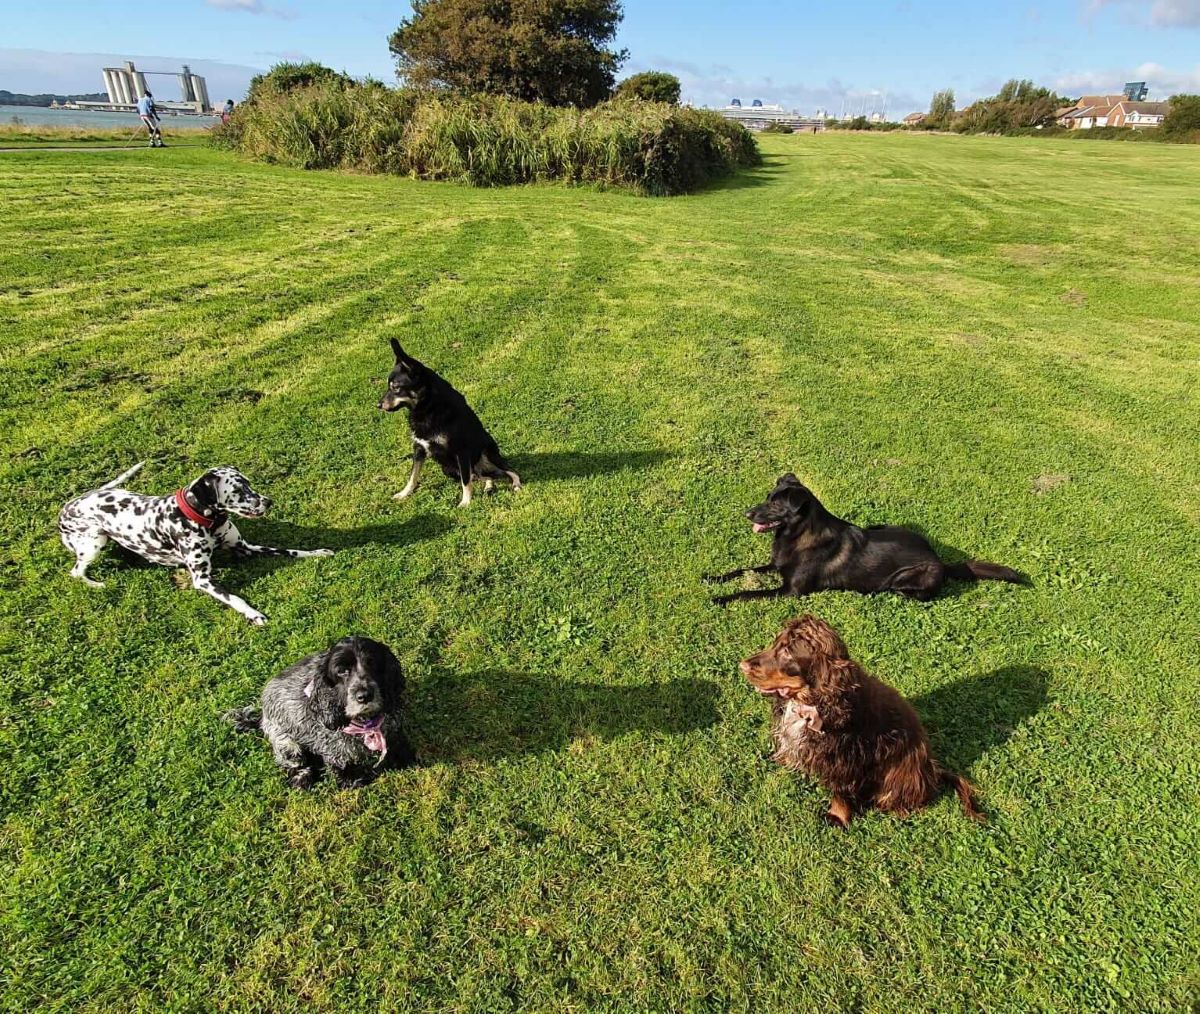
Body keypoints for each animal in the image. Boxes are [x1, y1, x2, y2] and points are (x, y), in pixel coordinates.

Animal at [57, 460, 333, 624]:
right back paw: (97, 584)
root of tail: (70, 503)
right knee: (76, 571)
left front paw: (317, 552)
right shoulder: (203, 579)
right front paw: (253, 613)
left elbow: (290, 551)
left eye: (249, 484)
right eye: (237, 491)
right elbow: (235, 598)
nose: (268, 502)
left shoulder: (246, 549)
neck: (207, 522)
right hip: (95, 542)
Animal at [226, 633, 415, 792]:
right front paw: (351, 780)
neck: (366, 724)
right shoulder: (332, 747)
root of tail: (262, 717)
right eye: (341, 671)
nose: (364, 696)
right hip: (285, 742)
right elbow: (341, 765)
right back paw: (302, 778)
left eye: (372, 663)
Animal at [379, 338, 520, 506]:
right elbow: (413, 476)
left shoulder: (461, 452)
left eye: (396, 387)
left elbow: (465, 482)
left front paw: (465, 502)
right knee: (484, 476)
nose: (378, 405)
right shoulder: (419, 448)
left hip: (488, 455)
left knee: (508, 470)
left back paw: (516, 484)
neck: (428, 407)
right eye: (389, 387)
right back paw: (488, 486)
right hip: (448, 469)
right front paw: (404, 493)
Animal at [705, 472, 1027, 604]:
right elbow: (741, 570)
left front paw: (722, 598)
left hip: (908, 580)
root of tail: (941, 561)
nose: (746, 513)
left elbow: (748, 593)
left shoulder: (791, 592)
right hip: (883, 525)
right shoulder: (775, 566)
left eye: (775, 505)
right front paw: (713, 578)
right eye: (767, 497)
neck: (798, 535)